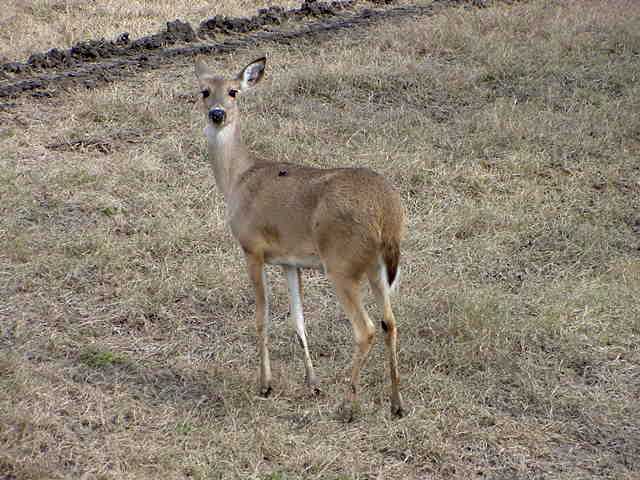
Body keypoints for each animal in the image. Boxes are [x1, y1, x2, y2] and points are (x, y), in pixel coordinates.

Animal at [195, 57, 405, 420]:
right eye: (205, 91)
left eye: (234, 91)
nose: (217, 114)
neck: (238, 178)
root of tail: (388, 212)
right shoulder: (289, 261)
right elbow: (298, 320)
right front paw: (312, 384)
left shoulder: (252, 248)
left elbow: (262, 317)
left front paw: (265, 385)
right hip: (376, 268)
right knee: (389, 323)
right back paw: (396, 405)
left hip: (342, 265)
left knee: (365, 329)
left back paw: (347, 406)